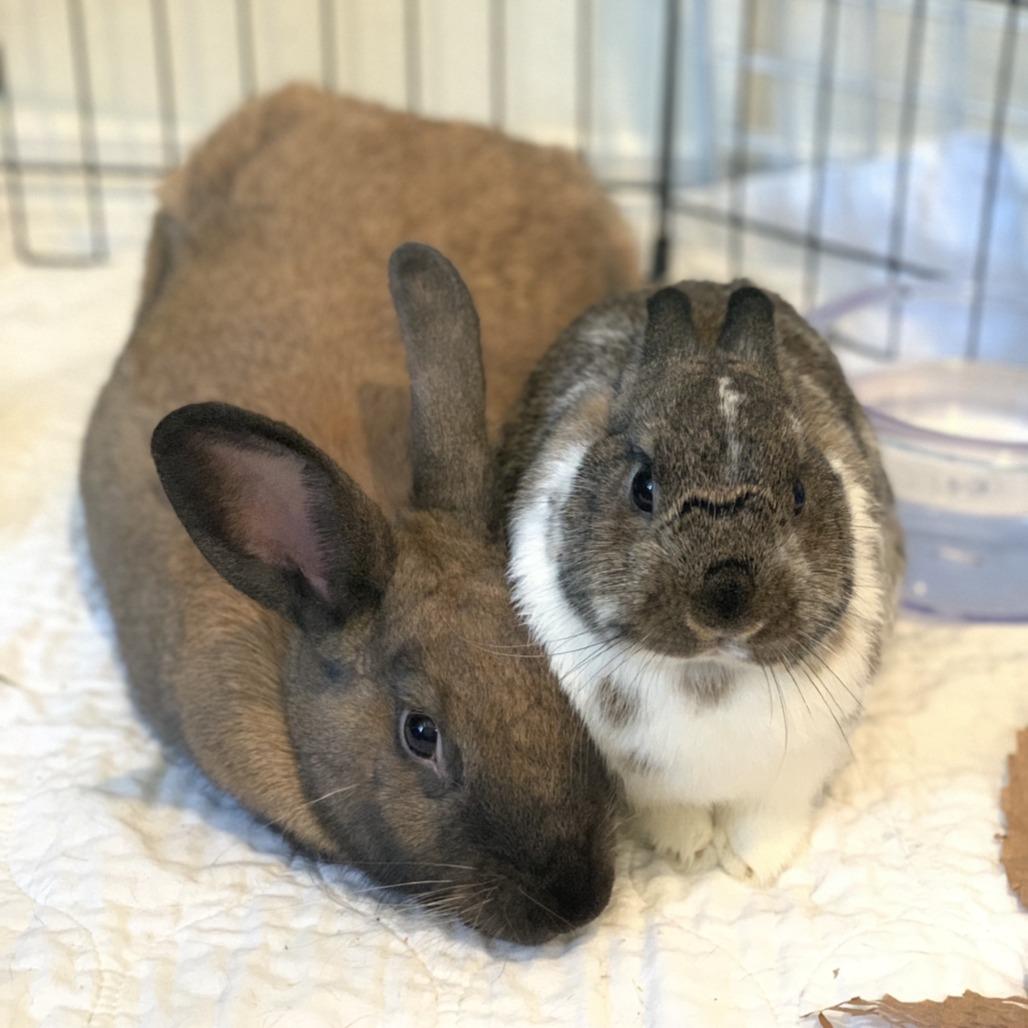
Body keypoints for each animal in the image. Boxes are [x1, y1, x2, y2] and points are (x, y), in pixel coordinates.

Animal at [497, 280, 904, 884]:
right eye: (643, 487)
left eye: (800, 492)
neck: (711, 676)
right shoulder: (647, 779)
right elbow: (674, 812)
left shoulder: (791, 774)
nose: (728, 600)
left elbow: (766, 821)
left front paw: (756, 867)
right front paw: (687, 852)